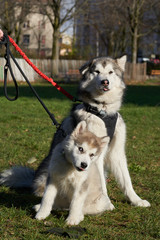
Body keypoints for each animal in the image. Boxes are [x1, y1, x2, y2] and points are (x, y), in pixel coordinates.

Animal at [0, 54, 150, 208]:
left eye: (110, 72)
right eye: (96, 71)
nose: (105, 82)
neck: (103, 111)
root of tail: (33, 179)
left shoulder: (117, 152)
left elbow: (127, 180)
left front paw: (136, 200)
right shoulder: (96, 156)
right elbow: (102, 185)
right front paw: (105, 203)